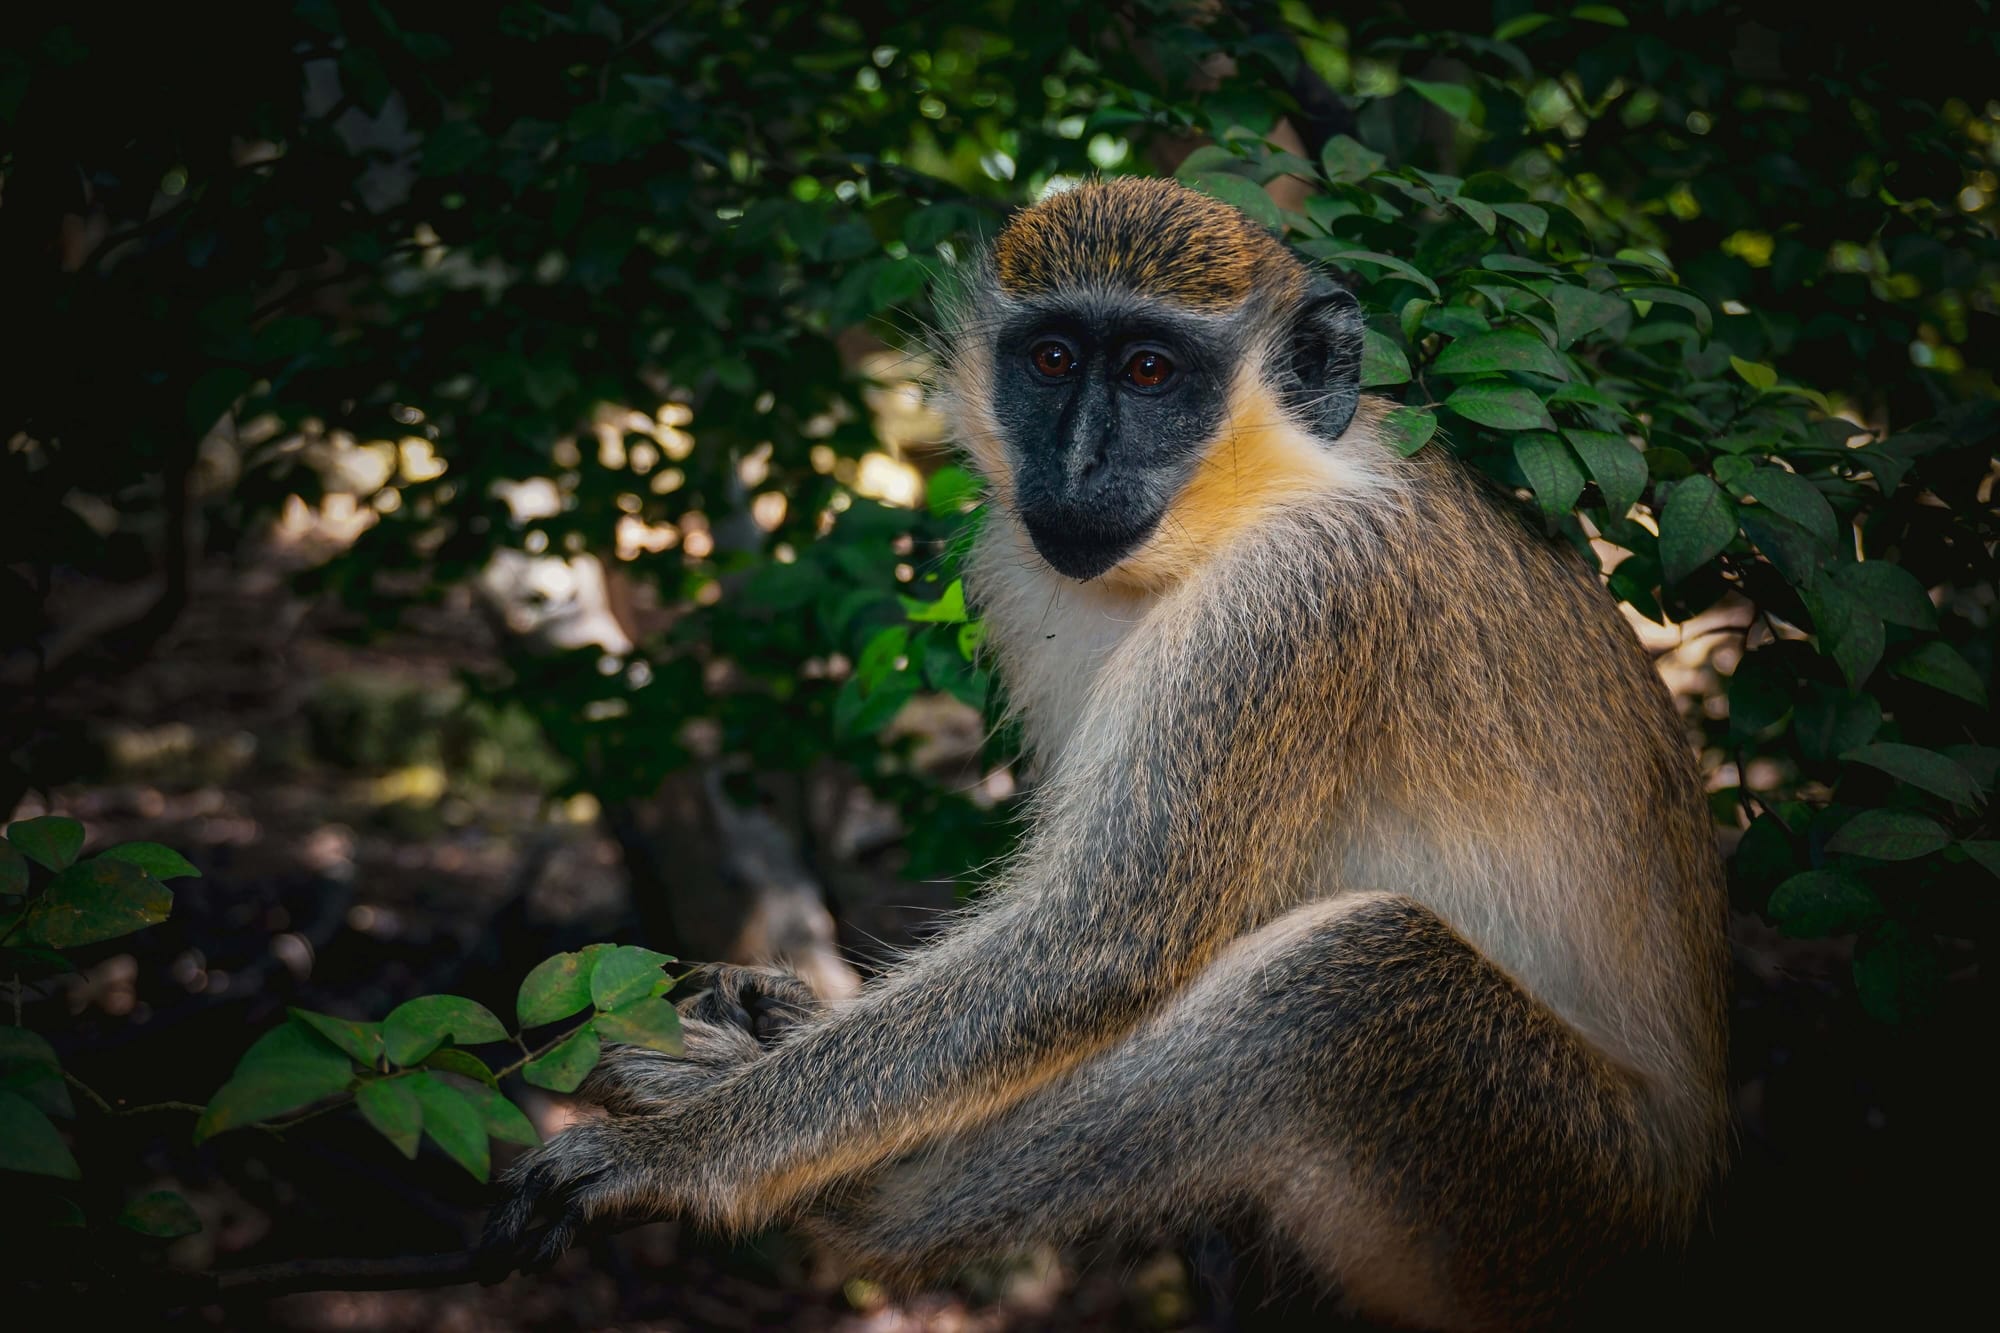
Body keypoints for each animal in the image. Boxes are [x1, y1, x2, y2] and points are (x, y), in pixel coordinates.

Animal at [485, 176, 1730, 1331]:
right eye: (1048, 359)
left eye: (1147, 372)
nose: (1075, 466)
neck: (1240, 503)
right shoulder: (1013, 560)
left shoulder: (1290, 603)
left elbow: (1096, 944)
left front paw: (682, 1157)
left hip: (1566, 1188)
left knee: (1339, 980)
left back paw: (868, 1209)